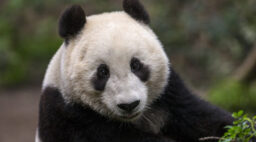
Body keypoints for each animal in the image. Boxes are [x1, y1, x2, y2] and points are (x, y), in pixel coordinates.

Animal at [36, 0, 234, 142]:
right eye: (102, 72)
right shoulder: (70, 116)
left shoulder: (169, 95)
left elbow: (203, 118)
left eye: (136, 65)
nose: (129, 105)